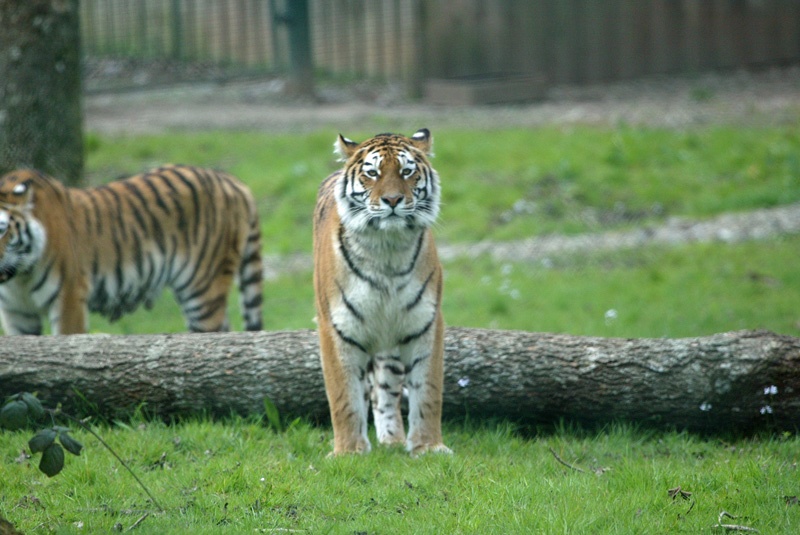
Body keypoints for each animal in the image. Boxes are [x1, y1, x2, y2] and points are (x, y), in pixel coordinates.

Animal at [0, 164, 263, 335]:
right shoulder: (16, 313)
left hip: (203, 290)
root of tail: (232, 180)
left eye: (1, 228)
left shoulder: (68, 300)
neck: (20, 277)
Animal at [313, 128, 451, 456]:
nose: (392, 200)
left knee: (384, 391)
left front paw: (428, 447)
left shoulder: (425, 322)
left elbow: (428, 391)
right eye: (372, 173)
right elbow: (343, 395)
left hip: (390, 343)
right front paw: (348, 452)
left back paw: (393, 440)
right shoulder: (335, 326)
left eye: (406, 171)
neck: (387, 249)